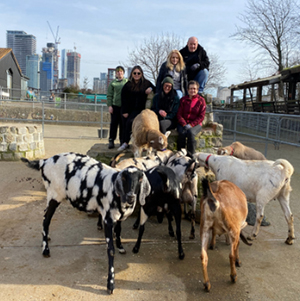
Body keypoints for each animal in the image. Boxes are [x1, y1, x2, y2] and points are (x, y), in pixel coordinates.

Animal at [21, 152, 151, 292]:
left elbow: (119, 230)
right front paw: (110, 284)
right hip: (54, 194)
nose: (130, 197)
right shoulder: (107, 220)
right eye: (124, 178)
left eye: (140, 179)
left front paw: (120, 246)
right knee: (46, 219)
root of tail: (44, 162)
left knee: (45, 215)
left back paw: (47, 238)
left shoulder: (119, 217)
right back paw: (45, 250)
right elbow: (110, 250)